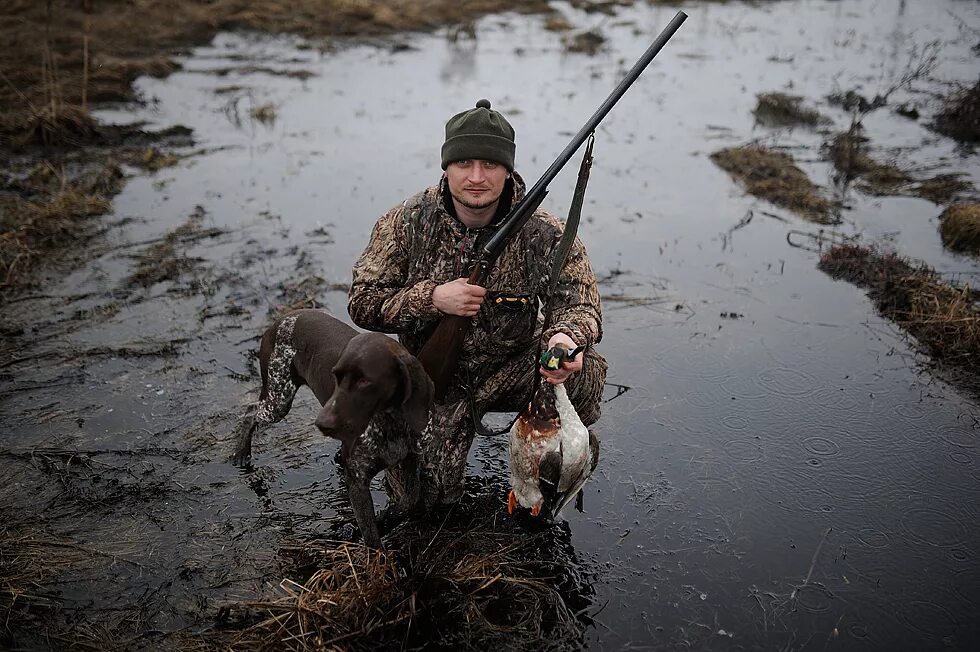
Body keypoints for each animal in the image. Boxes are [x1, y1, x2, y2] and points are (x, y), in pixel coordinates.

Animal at [232, 308, 434, 548]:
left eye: (365, 381)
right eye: (336, 376)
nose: (322, 422)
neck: (390, 422)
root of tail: (283, 319)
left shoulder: (412, 457)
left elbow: (410, 500)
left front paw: (387, 518)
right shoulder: (356, 480)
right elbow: (372, 538)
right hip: (278, 399)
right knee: (251, 411)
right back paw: (241, 453)